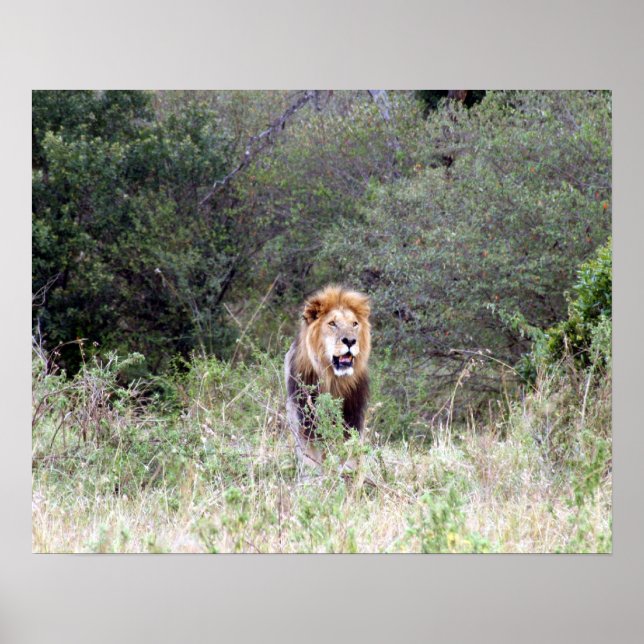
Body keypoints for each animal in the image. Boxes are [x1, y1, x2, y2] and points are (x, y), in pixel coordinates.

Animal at [284, 285, 371, 471]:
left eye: (355, 324)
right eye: (332, 323)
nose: (350, 341)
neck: (334, 381)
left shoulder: (352, 422)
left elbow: (350, 460)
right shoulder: (306, 426)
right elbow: (311, 461)